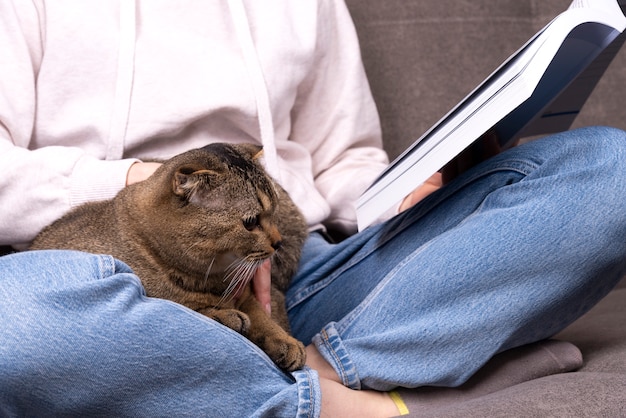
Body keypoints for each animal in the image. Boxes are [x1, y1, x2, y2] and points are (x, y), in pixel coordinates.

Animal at [30, 142, 308, 370]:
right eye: (250, 222)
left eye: (274, 211)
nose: (279, 242)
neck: (212, 279)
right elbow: (193, 308)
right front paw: (223, 314)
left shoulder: (248, 292)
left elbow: (262, 315)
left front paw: (284, 340)